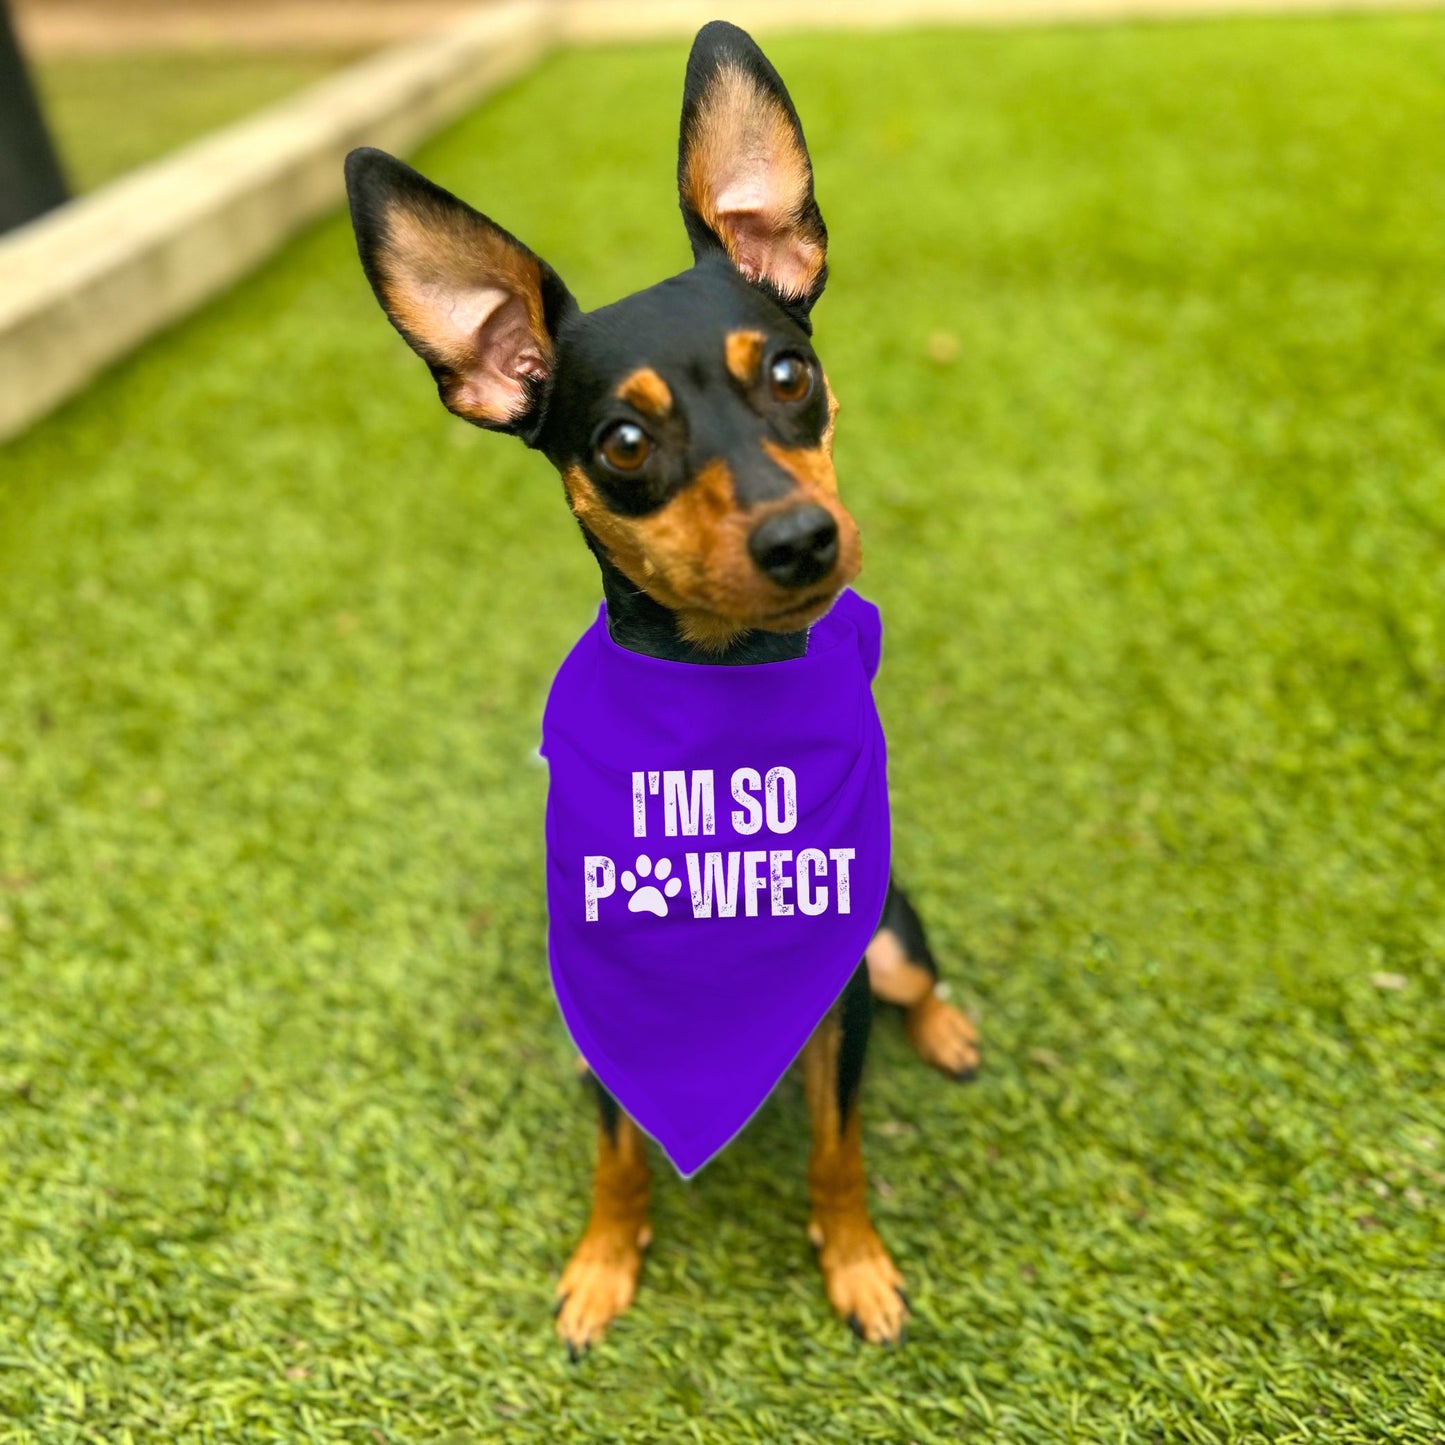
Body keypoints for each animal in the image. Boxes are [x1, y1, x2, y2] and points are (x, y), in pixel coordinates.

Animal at [345, 16, 988, 1346]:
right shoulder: (601, 1003)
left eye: (790, 373)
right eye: (623, 444)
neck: (718, 712)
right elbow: (616, 1154)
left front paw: (854, 1260)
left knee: (917, 972)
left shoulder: (836, 996)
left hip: (887, 933)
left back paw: (949, 1027)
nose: (800, 540)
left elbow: (837, 1147)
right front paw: (602, 1261)